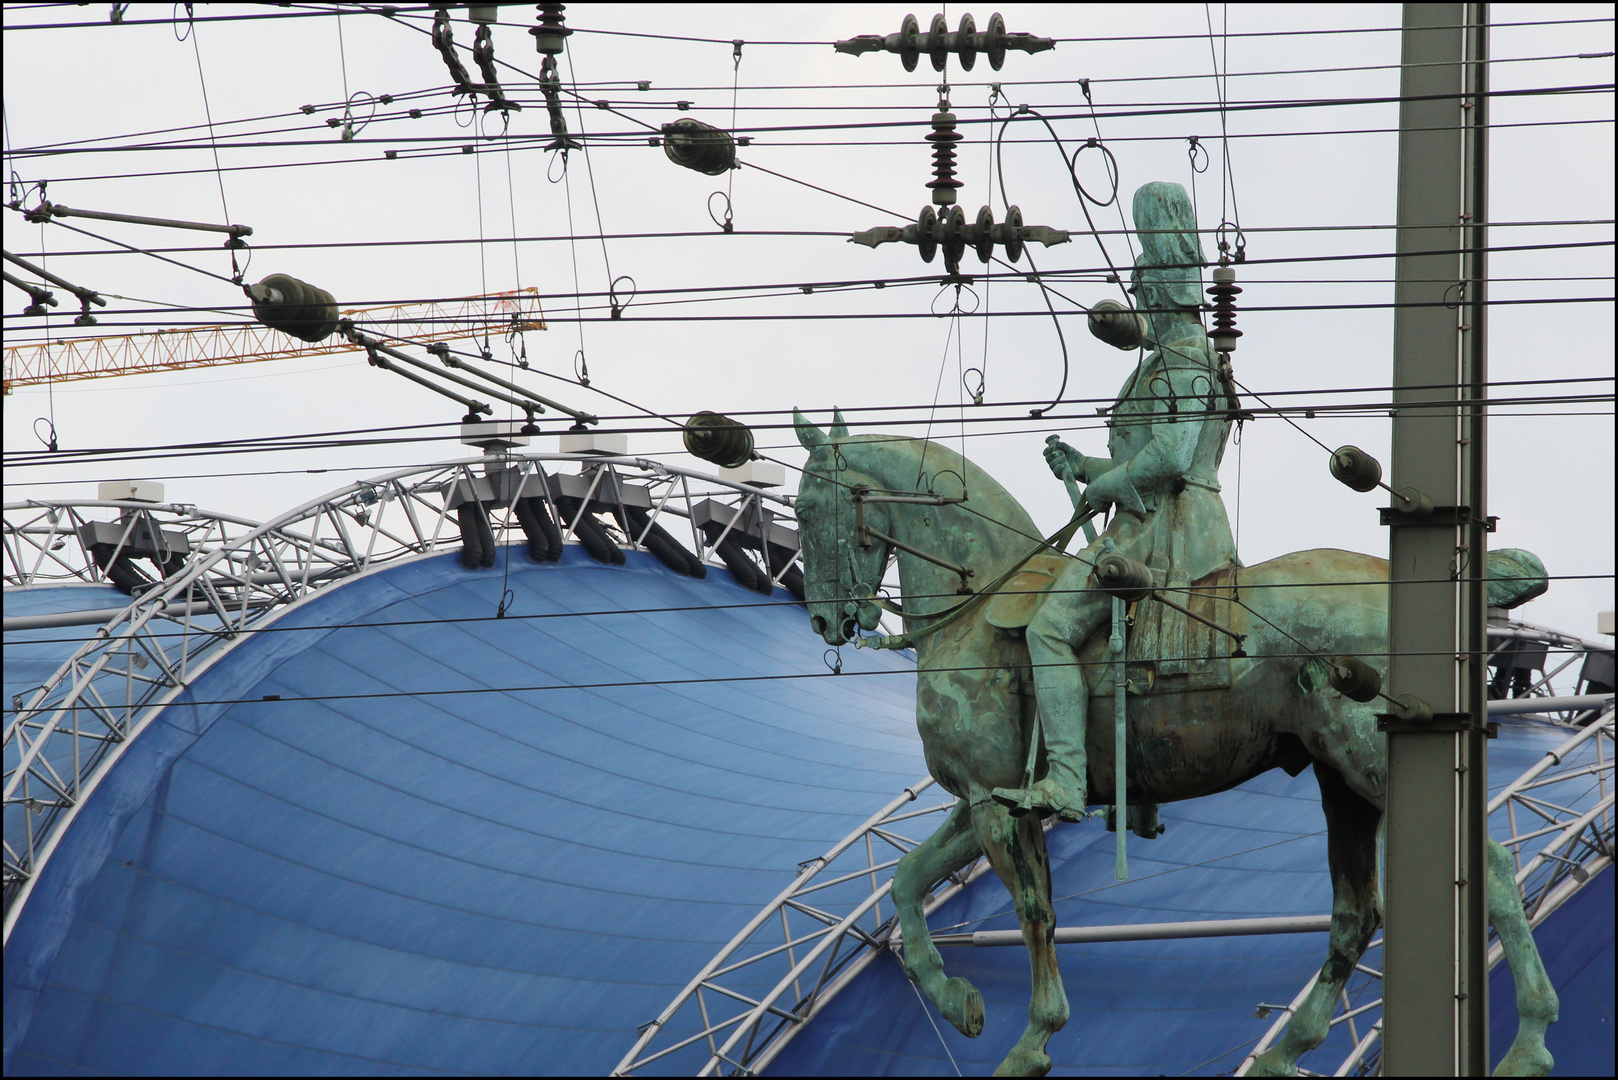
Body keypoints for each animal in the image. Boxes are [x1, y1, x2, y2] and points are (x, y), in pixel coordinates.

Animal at [789, 411, 1559, 1075]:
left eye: (803, 507)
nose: (827, 620)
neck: (977, 604)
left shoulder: (999, 807)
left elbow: (1035, 914)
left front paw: (1033, 1039)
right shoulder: (979, 800)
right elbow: (905, 879)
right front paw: (956, 1002)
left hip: (1369, 759)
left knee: (1490, 870)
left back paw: (1529, 1041)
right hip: (1341, 781)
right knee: (1354, 913)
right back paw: (1287, 1052)